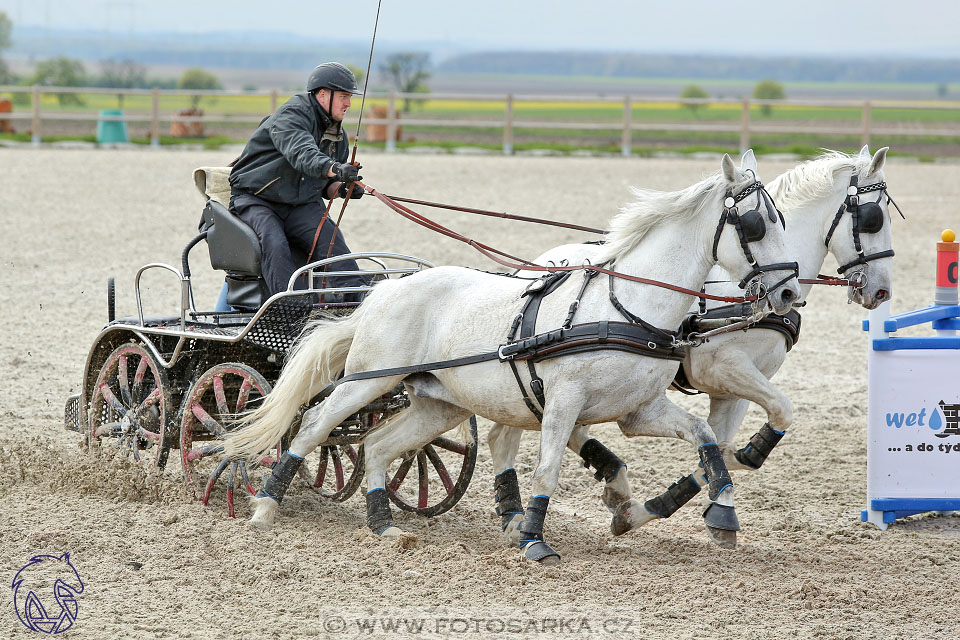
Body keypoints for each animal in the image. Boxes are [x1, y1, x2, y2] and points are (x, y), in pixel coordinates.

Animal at [225, 155, 804, 564]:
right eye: (755, 223)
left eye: (782, 219)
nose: (789, 294)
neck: (626, 305)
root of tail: (383, 290)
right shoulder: (565, 400)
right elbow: (547, 470)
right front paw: (533, 539)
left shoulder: (640, 411)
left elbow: (705, 439)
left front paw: (717, 508)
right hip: (364, 382)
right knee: (315, 426)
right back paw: (266, 505)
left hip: (440, 404)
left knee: (377, 444)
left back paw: (384, 523)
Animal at [492, 146, 896, 552]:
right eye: (874, 219)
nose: (881, 291)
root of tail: (538, 265)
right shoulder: (725, 368)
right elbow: (774, 416)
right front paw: (721, 495)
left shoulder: (733, 391)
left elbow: (720, 447)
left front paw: (662, 509)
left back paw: (604, 483)